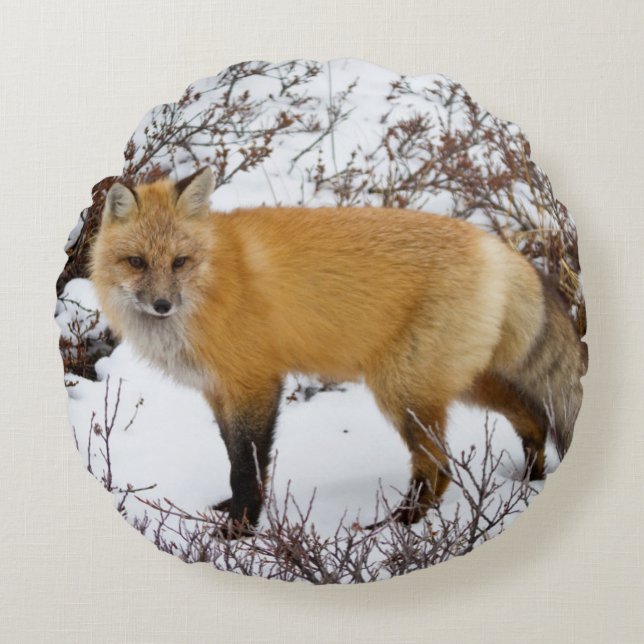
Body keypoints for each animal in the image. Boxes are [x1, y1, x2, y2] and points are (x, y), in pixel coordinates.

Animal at [89, 166, 587, 534]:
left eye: (179, 262)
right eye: (136, 262)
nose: (162, 305)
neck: (212, 286)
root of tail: (497, 247)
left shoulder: (256, 383)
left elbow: (247, 465)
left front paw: (241, 530)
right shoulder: (219, 391)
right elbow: (234, 455)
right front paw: (234, 510)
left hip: (402, 391)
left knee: (439, 465)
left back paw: (402, 524)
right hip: (456, 383)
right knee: (531, 415)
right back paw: (529, 478)